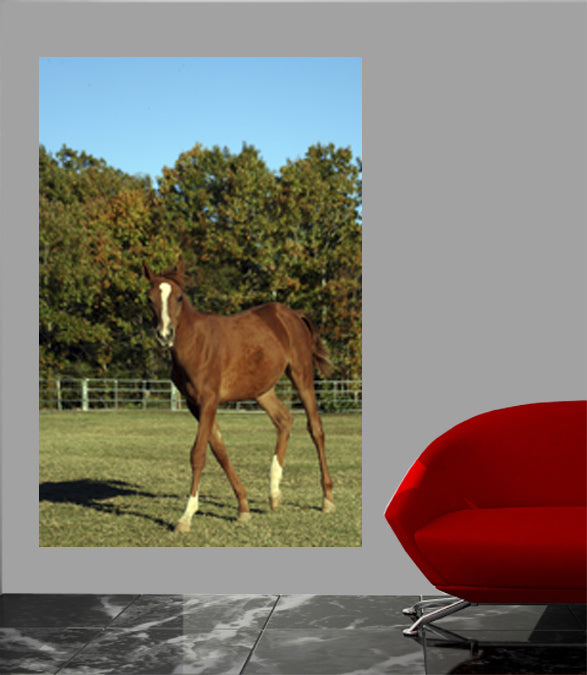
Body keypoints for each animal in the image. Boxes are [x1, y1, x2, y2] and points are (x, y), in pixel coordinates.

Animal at [142, 259, 335, 532]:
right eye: (149, 298)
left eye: (179, 297)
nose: (165, 336)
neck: (195, 344)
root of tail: (292, 315)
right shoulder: (193, 404)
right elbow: (219, 449)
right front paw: (243, 507)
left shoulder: (209, 401)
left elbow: (198, 453)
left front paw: (186, 516)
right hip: (262, 390)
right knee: (284, 420)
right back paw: (274, 494)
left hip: (302, 376)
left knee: (316, 429)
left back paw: (327, 499)